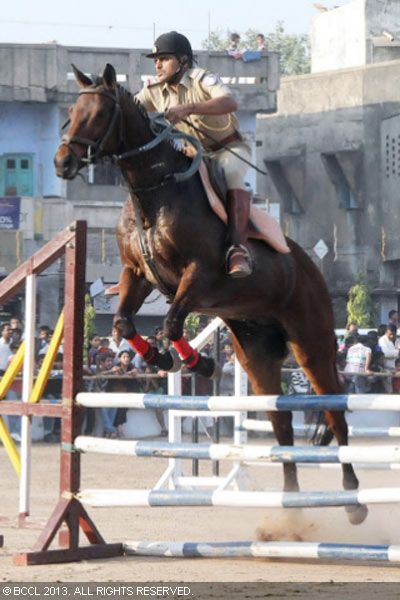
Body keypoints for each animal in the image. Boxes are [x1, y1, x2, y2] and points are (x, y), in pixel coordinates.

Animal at [54, 64, 368, 524]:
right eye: (71, 112)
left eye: (96, 115)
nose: (62, 162)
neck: (154, 191)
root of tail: (312, 268)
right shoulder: (137, 275)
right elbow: (124, 322)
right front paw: (160, 358)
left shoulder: (199, 276)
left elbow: (171, 321)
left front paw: (195, 362)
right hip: (256, 356)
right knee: (281, 424)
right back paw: (291, 506)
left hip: (311, 344)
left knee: (336, 414)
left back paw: (352, 501)